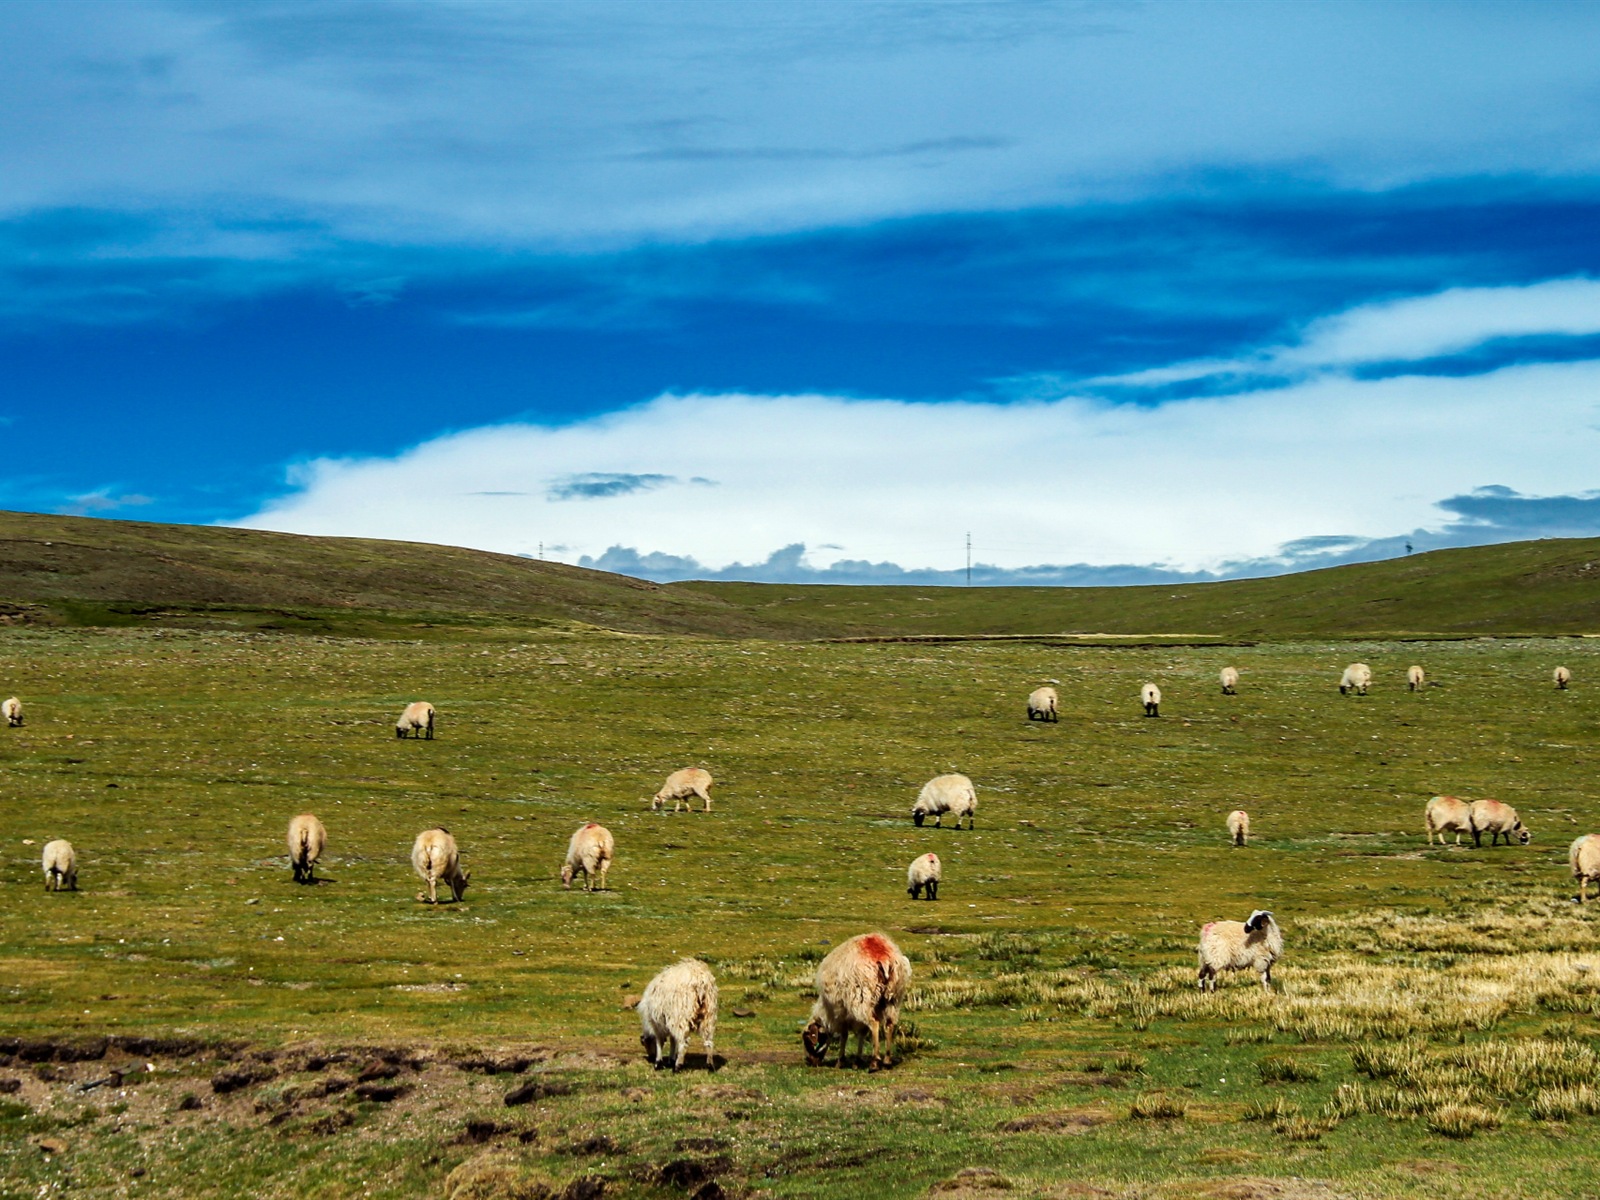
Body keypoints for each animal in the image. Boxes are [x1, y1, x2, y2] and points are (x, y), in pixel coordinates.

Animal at [800, 934, 915, 1075]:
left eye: (808, 1040)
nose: (809, 1061)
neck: (827, 1011)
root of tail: (883, 956)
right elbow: (862, 1033)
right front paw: (857, 1061)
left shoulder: (841, 1012)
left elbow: (844, 1035)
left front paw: (840, 1062)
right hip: (893, 997)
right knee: (889, 1024)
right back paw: (887, 1061)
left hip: (862, 998)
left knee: (874, 1024)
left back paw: (874, 1063)